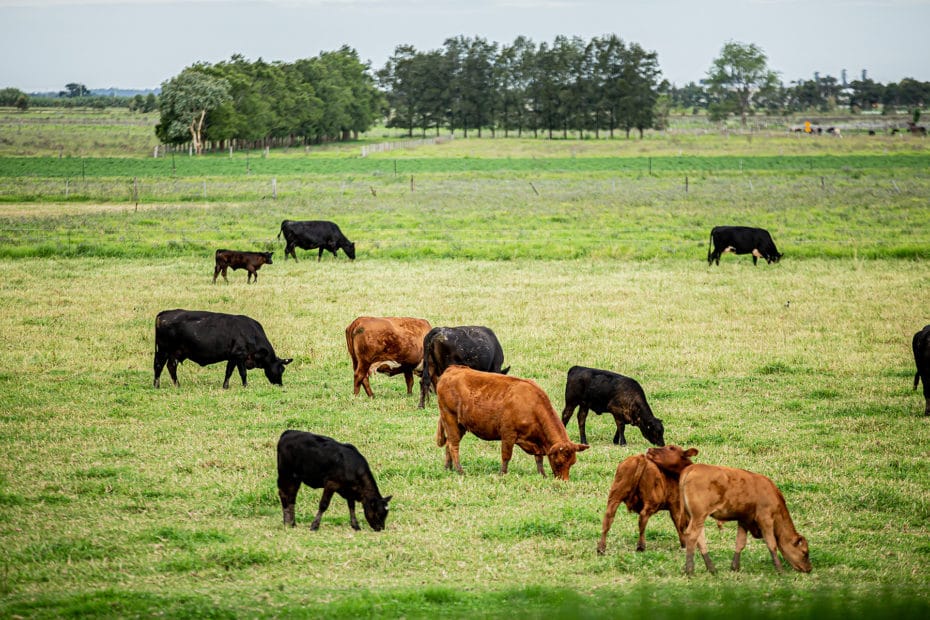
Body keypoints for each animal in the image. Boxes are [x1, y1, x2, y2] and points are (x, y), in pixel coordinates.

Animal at [152, 308, 290, 390]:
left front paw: (225, 386)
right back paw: (156, 385)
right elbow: (242, 373)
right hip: (163, 350)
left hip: (174, 352)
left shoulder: (233, 357)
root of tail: (164, 313)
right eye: (281, 369)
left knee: (171, 366)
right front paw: (245, 386)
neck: (252, 334)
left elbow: (229, 372)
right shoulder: (239, 355)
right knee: (159, 366)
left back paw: (177, 385)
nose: (280, 384)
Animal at [436, 366, 588, 482]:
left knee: (449, 444)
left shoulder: (536, 442)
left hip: (459, 425)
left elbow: (539, 459)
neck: (533, 406)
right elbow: (506, 456)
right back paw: (460, 470)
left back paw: (448, 468)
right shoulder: (508, 434)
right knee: (454, 445)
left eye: (572, 462)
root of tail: (452, 369)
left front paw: (543, 475)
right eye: (559, 462)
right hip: (450, 418)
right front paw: (502, 474)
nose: (564, 481)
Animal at [640, 446, 808, 576]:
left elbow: (740, 542)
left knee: (699, 538)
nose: (809, 569)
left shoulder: (744, 519)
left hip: (693, 516)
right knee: (692, 536)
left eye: (671, 448)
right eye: (805, 552)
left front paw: (735, 567)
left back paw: (711, 568)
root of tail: (693, 469)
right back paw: (690, 570)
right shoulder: (765, 517)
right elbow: (771, 543)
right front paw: (780, 570)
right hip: (699, 515)